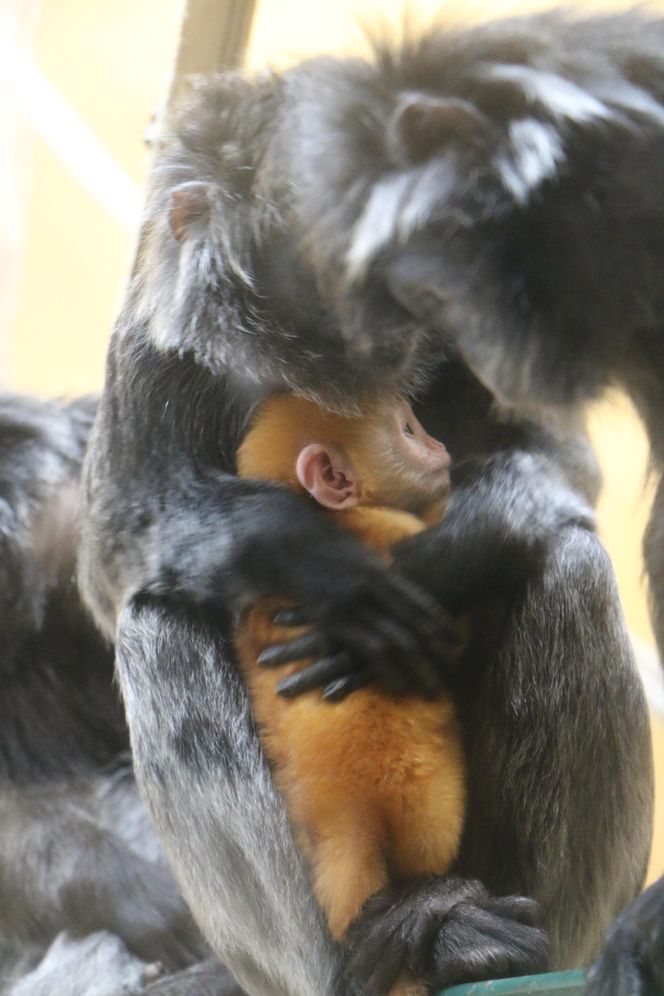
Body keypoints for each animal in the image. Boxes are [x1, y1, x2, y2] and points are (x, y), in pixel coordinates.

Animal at [236, 394, 464, 996]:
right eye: (408, 429)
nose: (440, 445)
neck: (340, 519)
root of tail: (352, 816)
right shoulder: (392, 535)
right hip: (430, 807)